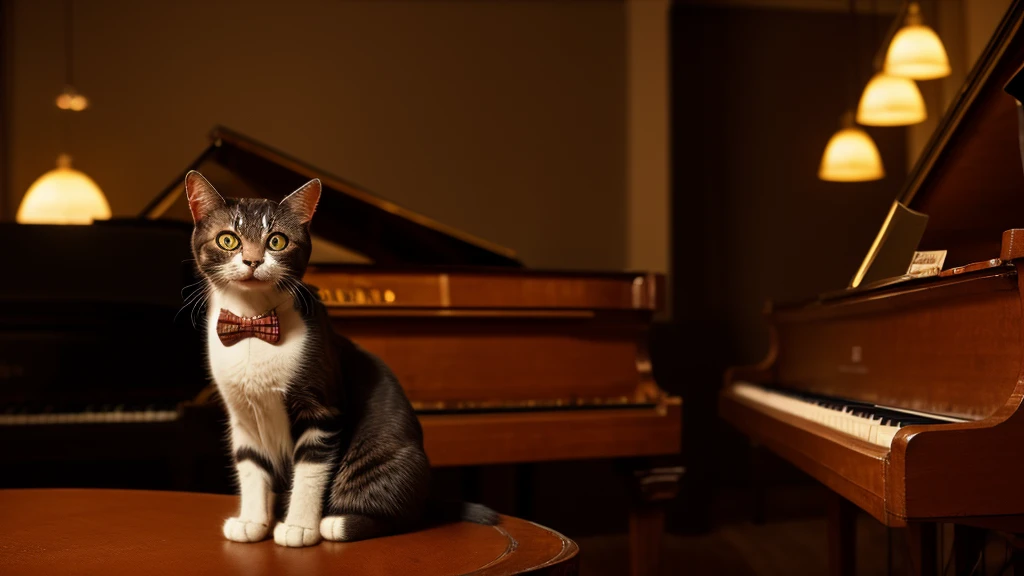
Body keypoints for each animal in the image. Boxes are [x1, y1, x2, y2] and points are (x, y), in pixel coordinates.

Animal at [187, 171, 495, 545]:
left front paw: (299, 527)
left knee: (402, 513)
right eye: (228, 240)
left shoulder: (322, 406)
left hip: (391, 456)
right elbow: (250, 465)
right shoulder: (241, 414)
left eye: (276, 241)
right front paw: (253, 521)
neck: (251, 323)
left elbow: (310, 469)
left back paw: (336, 523)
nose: (252, 260)